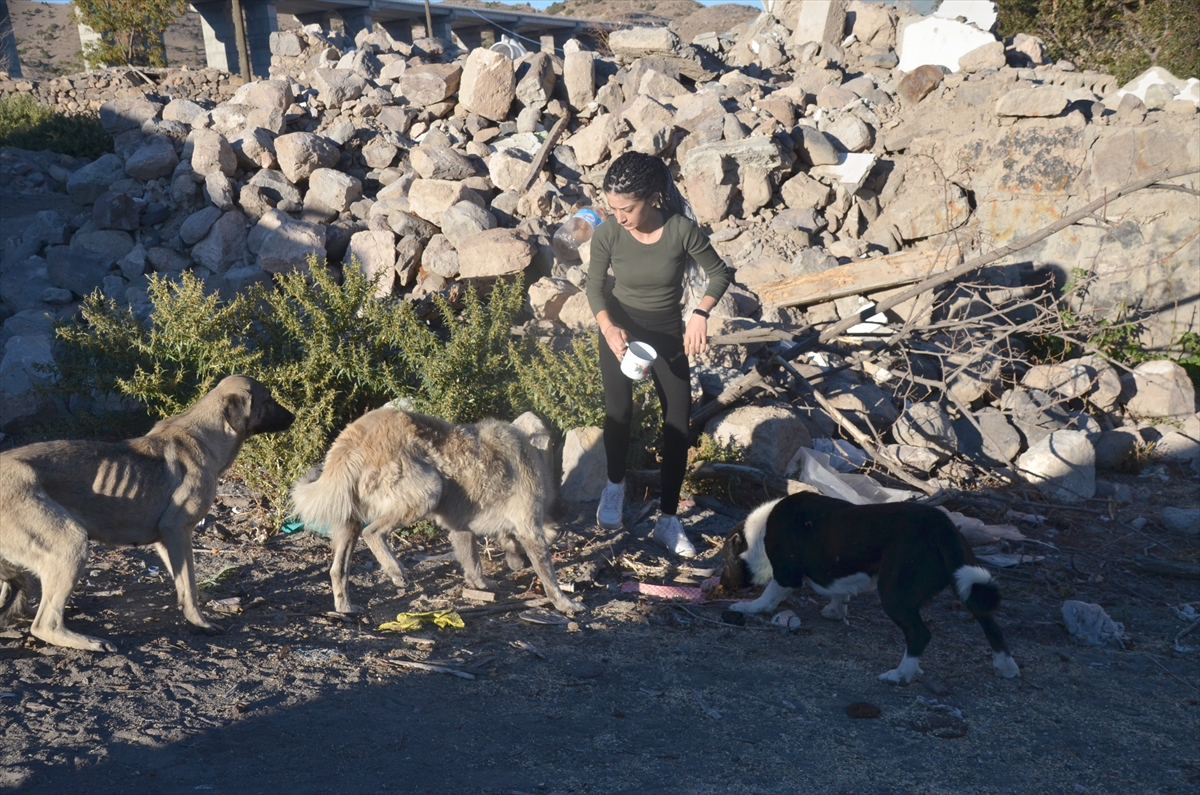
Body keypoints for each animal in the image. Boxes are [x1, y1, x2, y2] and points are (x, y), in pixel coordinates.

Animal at [720, 492, 1022, 686]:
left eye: (726, 560)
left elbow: (767, 597)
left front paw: (748, 607)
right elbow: (839, 592)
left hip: (894, 594)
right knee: (991, 624)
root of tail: (942, 528)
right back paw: (1005, 667)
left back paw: (900, 675)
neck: (760, 532)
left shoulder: (786, 575)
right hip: (967, 583)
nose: (722, 585)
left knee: (919, 634)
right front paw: (835, 611)